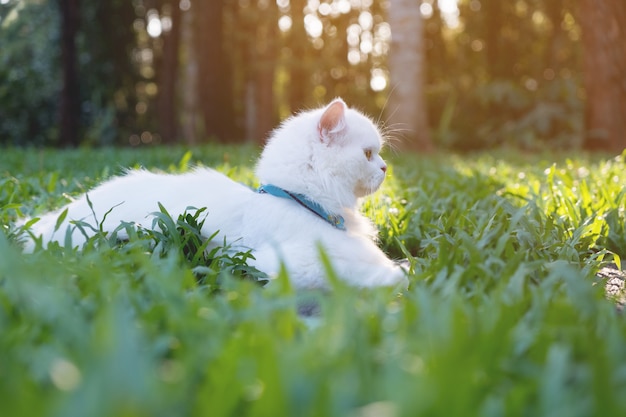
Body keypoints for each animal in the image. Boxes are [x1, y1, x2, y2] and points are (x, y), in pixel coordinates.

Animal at [24, 99, 408, 290]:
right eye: (368, 154)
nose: (385, 169)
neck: (298, 199)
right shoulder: (285, 263)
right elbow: (379, 274)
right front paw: (404, 277)